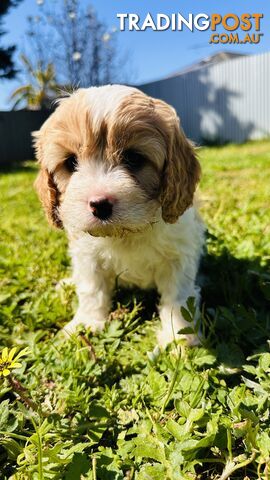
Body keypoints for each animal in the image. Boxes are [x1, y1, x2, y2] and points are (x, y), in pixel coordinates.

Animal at [34, 83, 206, 344]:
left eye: (134, 158)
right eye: (71, 162)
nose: (100, 204)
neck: (126, 232)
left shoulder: (178, 254)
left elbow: (178, 297)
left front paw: (178, 336)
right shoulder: (87, 256)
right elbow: (91, 289)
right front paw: (86, 323)